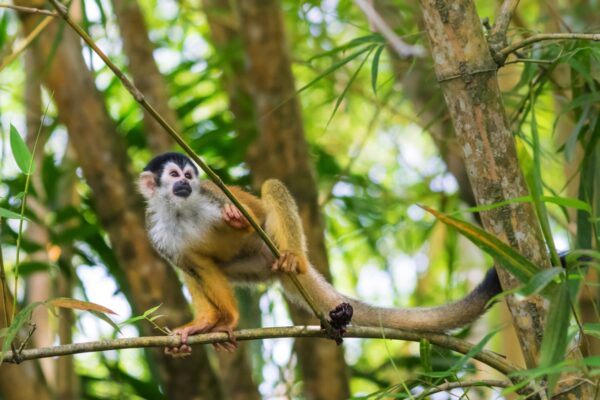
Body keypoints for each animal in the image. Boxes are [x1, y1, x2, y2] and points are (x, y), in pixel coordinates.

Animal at [139, 152, 502, 354]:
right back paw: (209, 321)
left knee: (271, 188)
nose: (185, 183)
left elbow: (254, 211)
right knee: (193, 266)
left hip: (268, 246)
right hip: (251, 267)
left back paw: (293, 259)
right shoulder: (156, 232)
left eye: (189, 175)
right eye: (174, 176)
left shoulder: (210, 194)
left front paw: (238, 218)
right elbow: (194, 265)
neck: (182, 209)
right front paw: (219, 321)